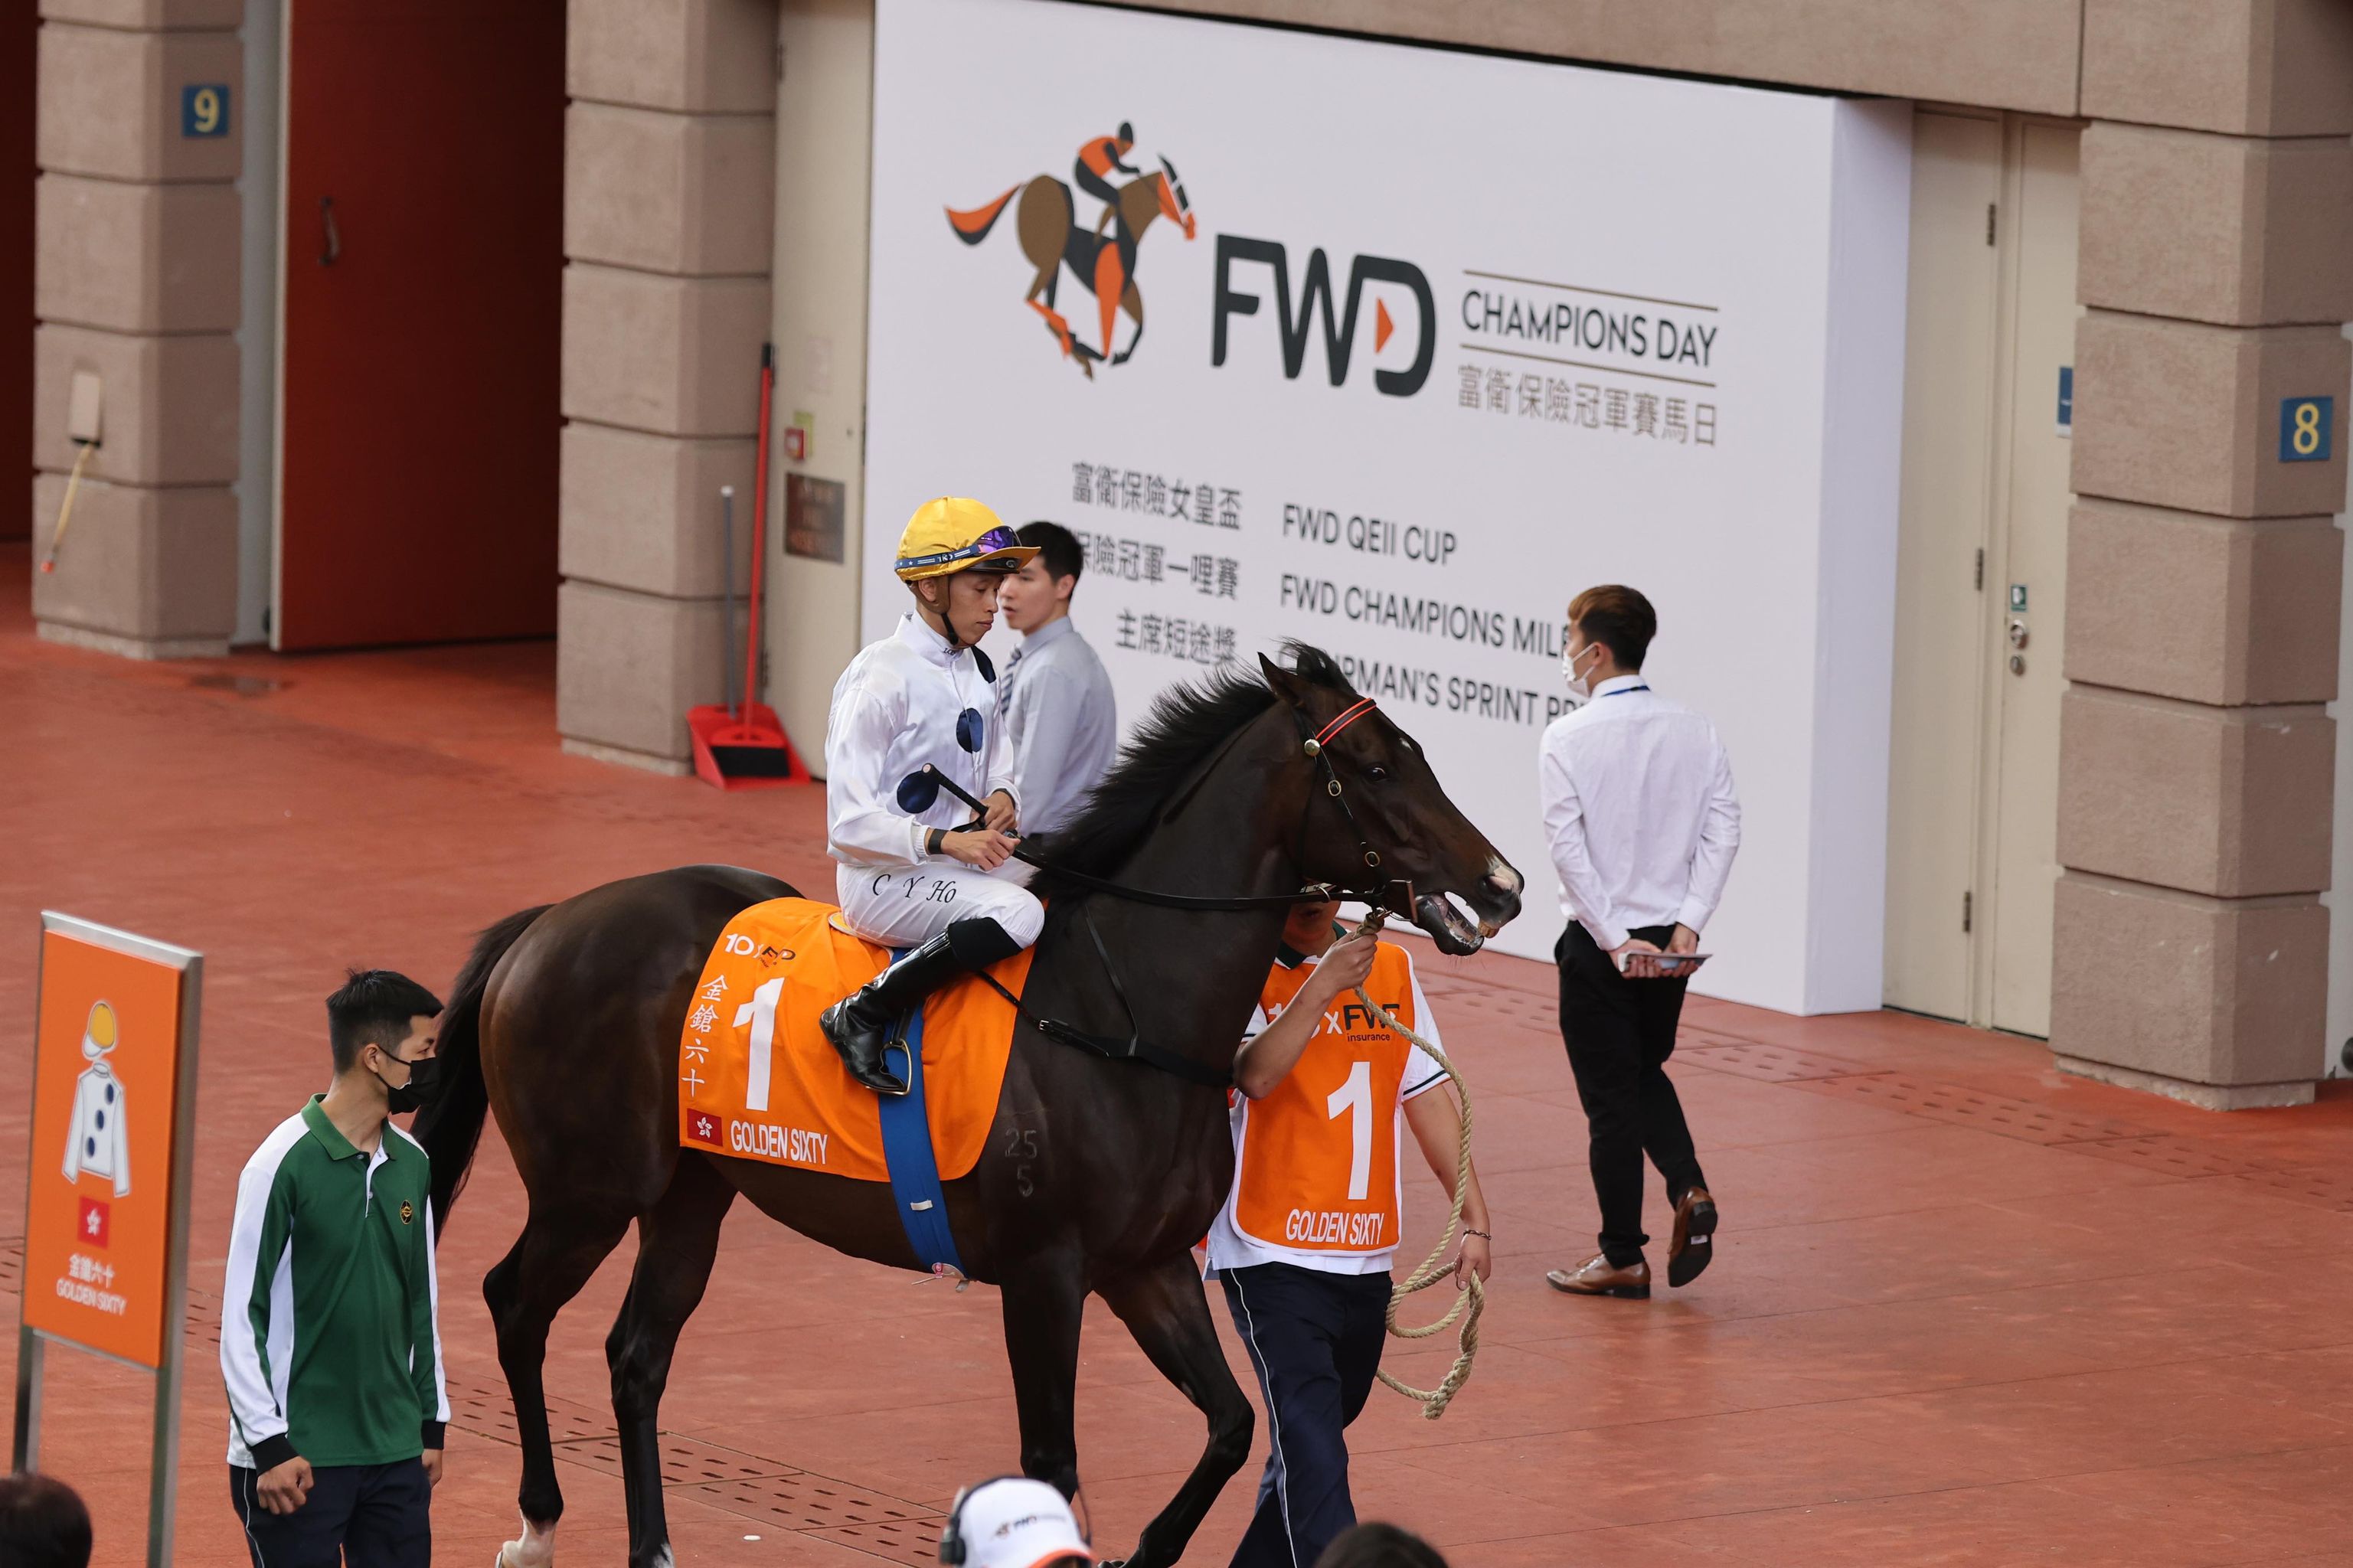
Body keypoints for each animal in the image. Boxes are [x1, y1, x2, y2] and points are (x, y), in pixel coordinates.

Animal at [413, 646, 1523, 1568]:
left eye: (1415, 751)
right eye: (1373, 767)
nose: (1503, 884)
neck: (1123, 1012)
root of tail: (545, 923)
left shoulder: (1147, 1266)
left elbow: (1230, 1427)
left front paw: (1144, 1550)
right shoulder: (1044, 1275)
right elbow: (1053, 1464)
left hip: (693, 1191)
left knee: (636, 1356)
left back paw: (651, 1545)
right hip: (590, 1189)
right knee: (513, 1302)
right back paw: (537, 1522)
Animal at [946, 157, 1196, 377]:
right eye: (1181, 194)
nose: (1192, 230)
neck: (1124, 241)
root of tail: (1027, 185)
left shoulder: (1125, 292)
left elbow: (1140, 326)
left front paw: (1117, 355)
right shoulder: (1109, 293)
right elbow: (1109, 342)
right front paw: (1094, 351)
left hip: (1054, 265)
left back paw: (1072, 341)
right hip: (1050, 258)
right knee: (1033, 299)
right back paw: (1072, 340)